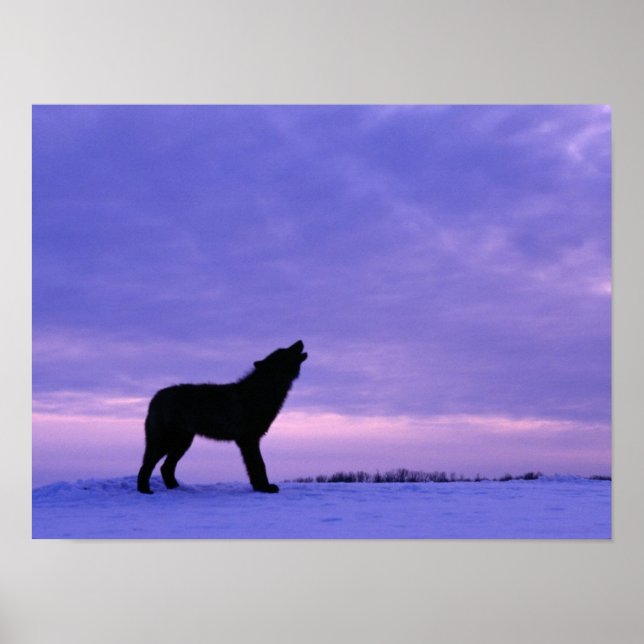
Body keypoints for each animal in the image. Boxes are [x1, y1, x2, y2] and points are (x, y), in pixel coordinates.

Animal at [136, 340, 307, 494]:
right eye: (285, 351)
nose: (300, 341)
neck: (262, 392)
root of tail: (155, 397)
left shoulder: (249, 441)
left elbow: (255, 467)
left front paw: (259, 487)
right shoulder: (249, 440)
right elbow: (259, 465)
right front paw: (264, 488)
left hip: (182, 443)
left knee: (165, 467)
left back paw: (177, 488)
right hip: (166, 442)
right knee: (147, 465)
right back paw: (144, 490)